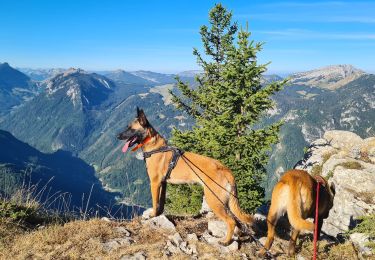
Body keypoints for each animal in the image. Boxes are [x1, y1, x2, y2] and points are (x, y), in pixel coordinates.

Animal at [117, 108, 253, 246]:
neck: (155, 146)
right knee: (237, 222)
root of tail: (226, 170)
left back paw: (226, 241)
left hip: (214, 201)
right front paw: (159, 213)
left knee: (231, 221)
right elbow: (161, 202)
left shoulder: (154, 183)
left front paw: (153, 215)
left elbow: (155, 202)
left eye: (131, 129)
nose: (118, 136)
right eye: (127, 127)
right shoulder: (163, 183)